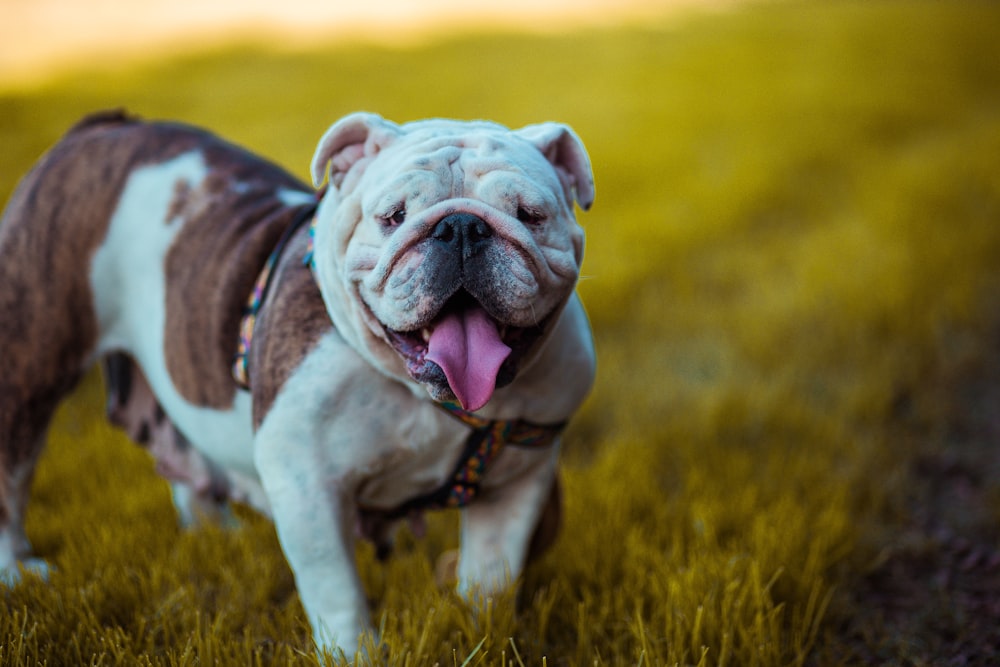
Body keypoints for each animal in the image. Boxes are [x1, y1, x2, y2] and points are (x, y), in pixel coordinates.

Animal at [0, 111, 592, 656]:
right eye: (393, 216)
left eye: (530, 215)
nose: (463, 227)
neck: (419, 393)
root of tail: (106, 126)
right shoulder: (307, 484)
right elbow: (338, 592)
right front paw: (355, 655)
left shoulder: (517, 481)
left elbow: (491, 577)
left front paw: (485, 636)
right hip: (29, 363)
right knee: (12, 475)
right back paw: (20, 572)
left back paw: (215, 533)